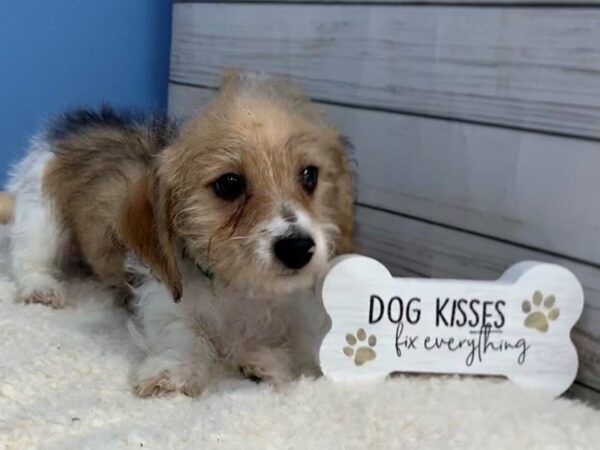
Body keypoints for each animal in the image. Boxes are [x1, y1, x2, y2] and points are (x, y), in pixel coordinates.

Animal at [3, 71, 352, 398]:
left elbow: (288, 348)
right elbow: (184, 334)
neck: (240, 290)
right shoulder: (163, 302)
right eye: (229, 184)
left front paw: (268, 363)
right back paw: (41, 288)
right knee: (29, 259)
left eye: (309, 175)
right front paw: (174, 372)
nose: (298, 248)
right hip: (41, 217)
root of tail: (76, 124)